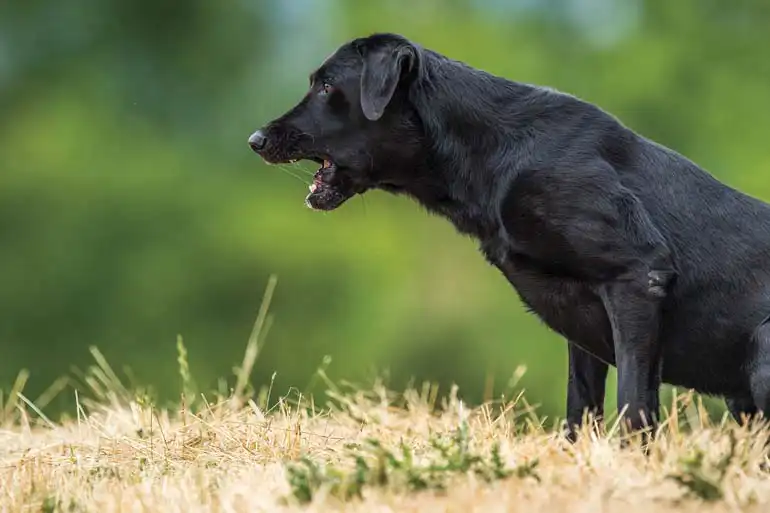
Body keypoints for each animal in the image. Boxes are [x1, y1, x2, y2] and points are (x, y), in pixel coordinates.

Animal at [249, 32, 768, 440]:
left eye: (327, 87)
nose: (255, 140)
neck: (493, 152)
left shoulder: (638, 275)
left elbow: (633, 405)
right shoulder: (583, 323)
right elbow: (582, 409)